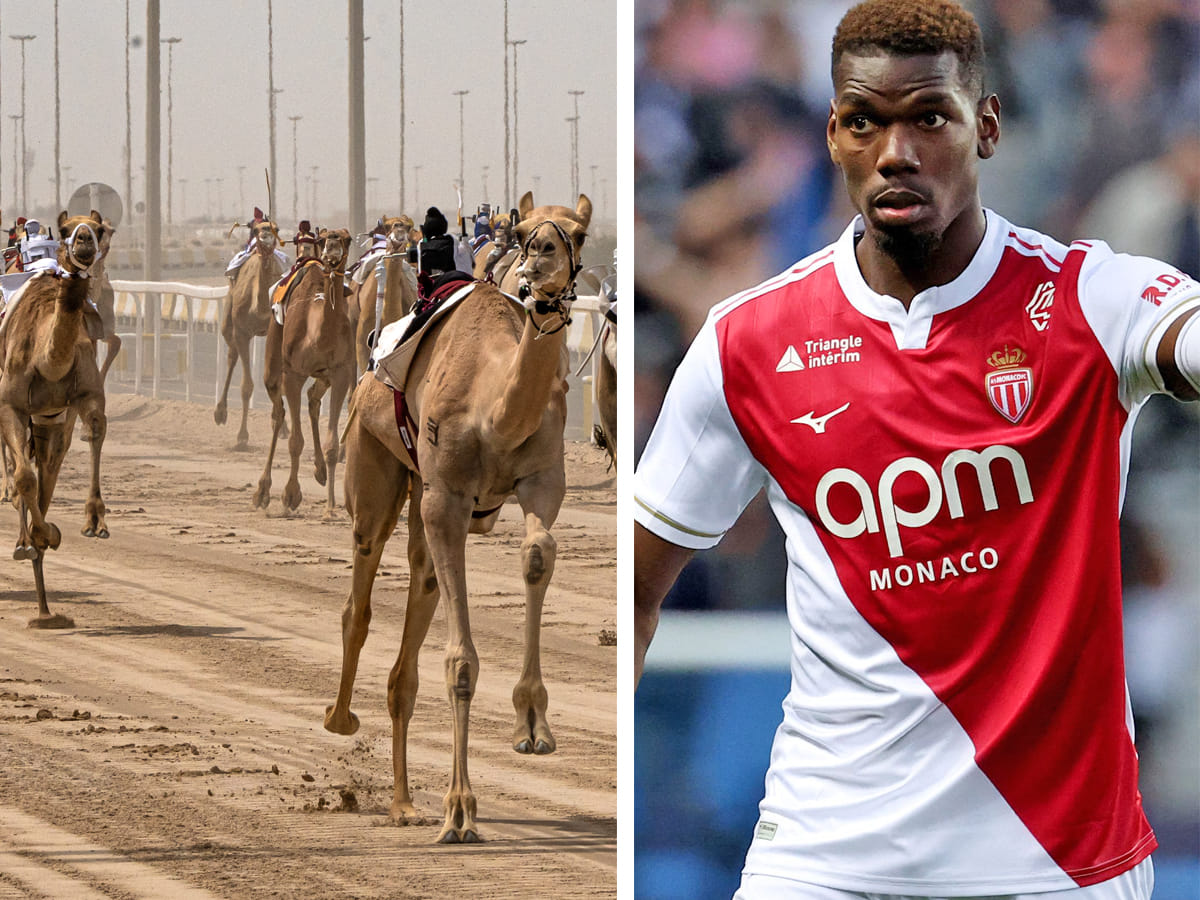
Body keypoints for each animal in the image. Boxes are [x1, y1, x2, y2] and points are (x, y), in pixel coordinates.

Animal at [0, 210, 111, 628]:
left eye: (99, 229)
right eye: (65, 231)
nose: (84, 243)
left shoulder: (83, 398)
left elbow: (95, 432)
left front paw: (92, 522)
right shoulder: (10, 404)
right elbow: (23, 479)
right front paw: (33, 540)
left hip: (49, 423)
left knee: (46, 476)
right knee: (22, 475)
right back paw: (26, 547)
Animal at [214, 215, 286, 449]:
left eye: (276, 228)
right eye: (255, 230)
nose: (265, 234)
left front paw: (281, 427)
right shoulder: (242, 332)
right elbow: (246, 386)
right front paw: (242, 437)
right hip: (229, 322)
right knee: (231, 355)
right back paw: (220, 413)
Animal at [253, 228, 355, 515]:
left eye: (347, 238)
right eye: (323, 239)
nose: (331, 249)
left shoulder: (342, 373)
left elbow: (333, 445)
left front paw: (331, 507)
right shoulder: (293, 374)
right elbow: (295, 441)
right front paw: (290, 495)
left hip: (324, 376)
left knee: (313, 399)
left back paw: (320, 471)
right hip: (274, 358)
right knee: (278, 413)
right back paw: (262, 491)